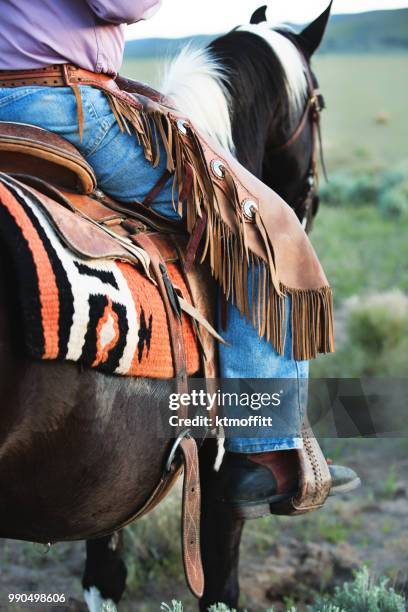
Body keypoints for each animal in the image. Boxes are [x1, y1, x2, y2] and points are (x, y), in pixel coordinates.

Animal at [0, 2, 334, 608]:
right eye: (318, 106)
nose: (309, 203)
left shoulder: (101, 482)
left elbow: (103, 575)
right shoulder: (221, 492)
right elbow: (221, 585)